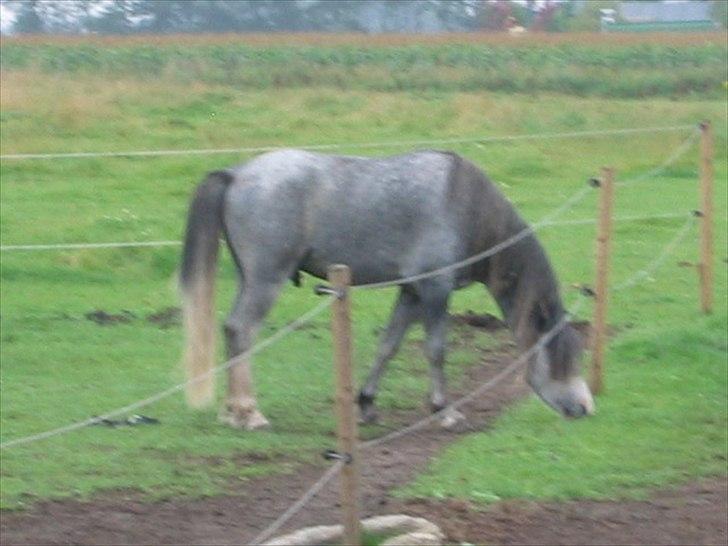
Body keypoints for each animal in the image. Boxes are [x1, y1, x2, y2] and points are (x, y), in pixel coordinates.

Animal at [179, 149, 596, 430]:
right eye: (561, 357)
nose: (585, 408)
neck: (467, 205)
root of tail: (237, 174)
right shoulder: (434, 290)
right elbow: (436, 350)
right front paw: (443, 409)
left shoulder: (411, 292)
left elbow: (388, 346)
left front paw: (366, 403)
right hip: (266, 280)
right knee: (242, 331)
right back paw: (247, 412)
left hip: (250, 279)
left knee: (232, 331)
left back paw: (232, 411)